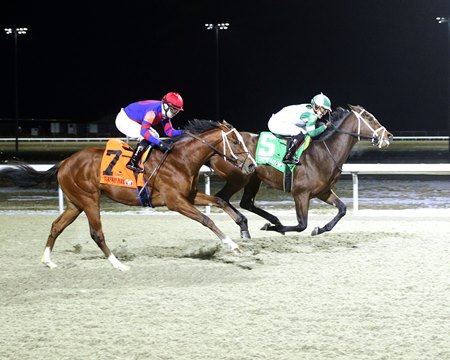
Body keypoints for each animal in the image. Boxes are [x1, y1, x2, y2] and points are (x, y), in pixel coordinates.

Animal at [0, 119, 255, 272]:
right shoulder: (175, 202)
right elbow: (206, 220)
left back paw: (48, 260)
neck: (181, 160)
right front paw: (233, 245)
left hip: (75, 203)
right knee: (96, 233)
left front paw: (242, 229)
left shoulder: (189, 197)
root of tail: (64, 162)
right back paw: (118, 264)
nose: (252, 166)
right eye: (235, 141)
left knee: (56, 226)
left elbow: (219, 201)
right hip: (89, 199)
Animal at [207, 105, 394, 238]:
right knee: (222, 197)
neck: (324, 153)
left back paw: (268, 220)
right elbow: (301, 225)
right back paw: (246, 224)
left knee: (245, 202)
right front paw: (274, 228)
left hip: (253, 179)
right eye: (369, 117)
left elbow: (342, 208)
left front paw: (319, 229)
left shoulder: (323, 192)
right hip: (239, 178)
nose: (389, 135)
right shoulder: (300, 194)